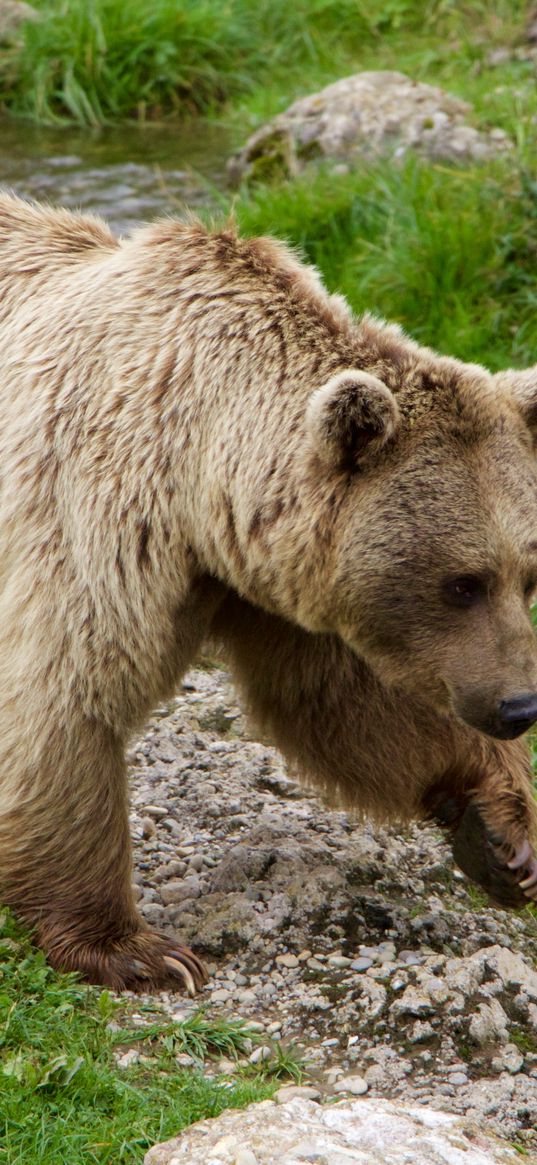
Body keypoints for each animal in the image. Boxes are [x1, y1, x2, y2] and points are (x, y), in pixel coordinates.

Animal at [0, 193, 535, 992]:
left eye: (527, 572)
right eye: (461, 582)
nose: (519, 705)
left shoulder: (268, 581)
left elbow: (342, 700)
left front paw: (502, 828)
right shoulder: (89, 515)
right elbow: (63, 702)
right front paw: (137, 949)